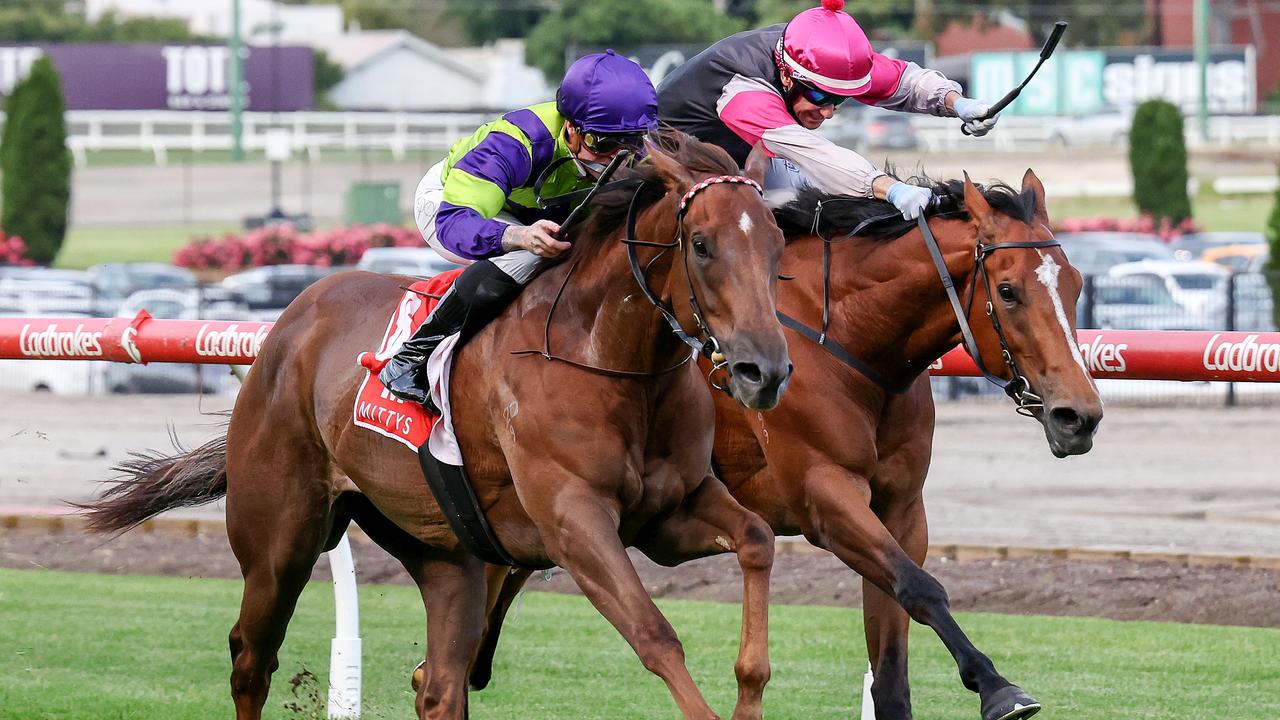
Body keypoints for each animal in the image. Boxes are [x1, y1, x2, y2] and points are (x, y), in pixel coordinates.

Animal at [80, 130, 793, 720]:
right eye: (701, 245)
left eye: (778, 244)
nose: (764, 370)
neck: (608, 358)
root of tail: (289, 325)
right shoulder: (576, 521)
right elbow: (655, 636)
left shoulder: (668, 514)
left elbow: (758, 540)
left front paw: (751, 687)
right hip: (279, 540)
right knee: (251, 659)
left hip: (446, 553)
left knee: (439, 685)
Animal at [475, 170, 1103, 720]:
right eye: (1008, 291)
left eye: (1075, 283)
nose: (1080, 416)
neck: (848, 343)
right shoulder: (824, 497)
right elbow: (921, 587)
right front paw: (997, 688)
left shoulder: (901, 507)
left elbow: (894, 656)